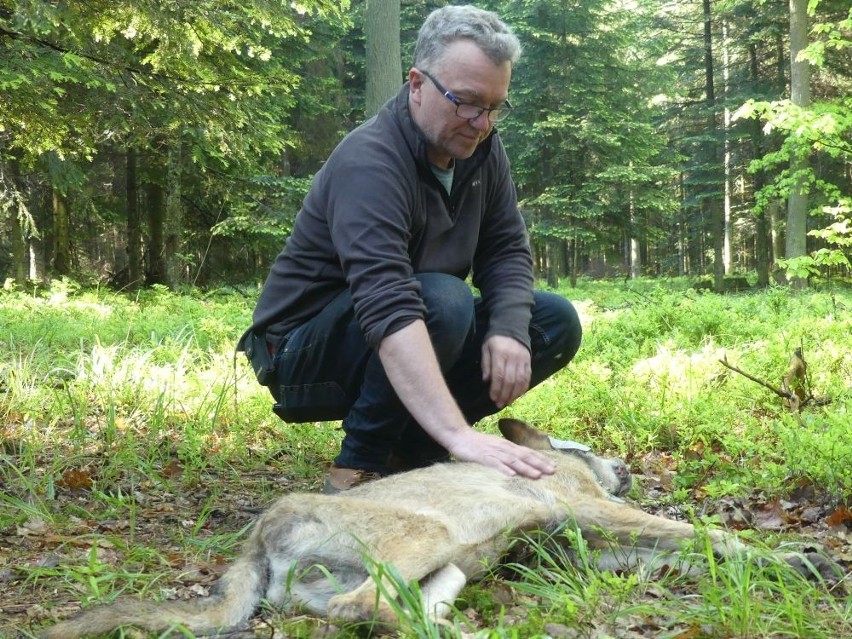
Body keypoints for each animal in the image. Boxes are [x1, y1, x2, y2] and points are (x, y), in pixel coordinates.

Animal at [36, 418, 836, 636]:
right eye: (590, 446)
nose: (628, 466)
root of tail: (258, 535)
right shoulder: (596, 509)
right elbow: (713, 537)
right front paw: (801, 558)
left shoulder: (600, 546)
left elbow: (695, 554)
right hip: (431, 540)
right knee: (360, 610)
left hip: (447, 566)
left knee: (378, 611)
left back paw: (457, 629)